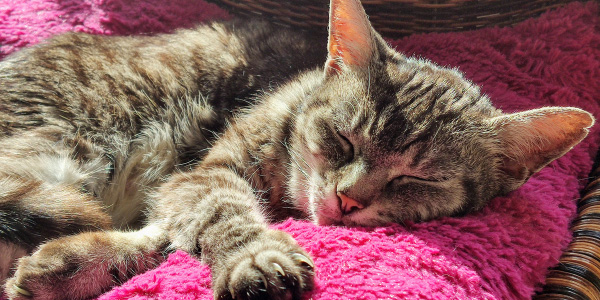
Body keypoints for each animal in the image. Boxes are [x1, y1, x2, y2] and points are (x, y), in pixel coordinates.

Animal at [0, 0, 592, 298]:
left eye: (417, 178)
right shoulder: (204, 174)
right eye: (344, 138)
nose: (348, 199)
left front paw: (70, 266)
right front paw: (255, 256)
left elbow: (166, 234)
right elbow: (218, 212)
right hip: (71, 150)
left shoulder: (182, 187)